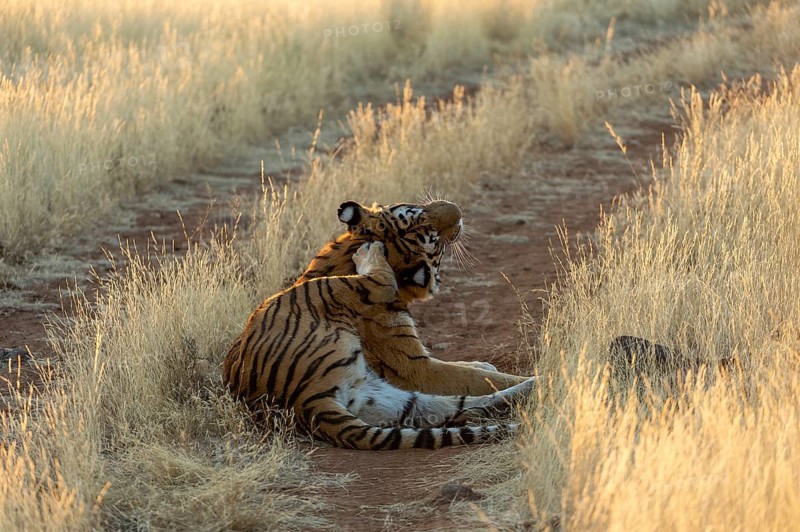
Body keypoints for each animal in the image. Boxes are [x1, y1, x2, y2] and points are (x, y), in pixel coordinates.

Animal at [223, 200, 536, 450]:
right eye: (435, 241)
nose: (458, 212)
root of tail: (305, 403)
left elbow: (473, 371)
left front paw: (485, 365)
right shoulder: (415, 367)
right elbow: (469, 375)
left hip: (391, 399)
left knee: (466, 404)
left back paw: (533, 385)